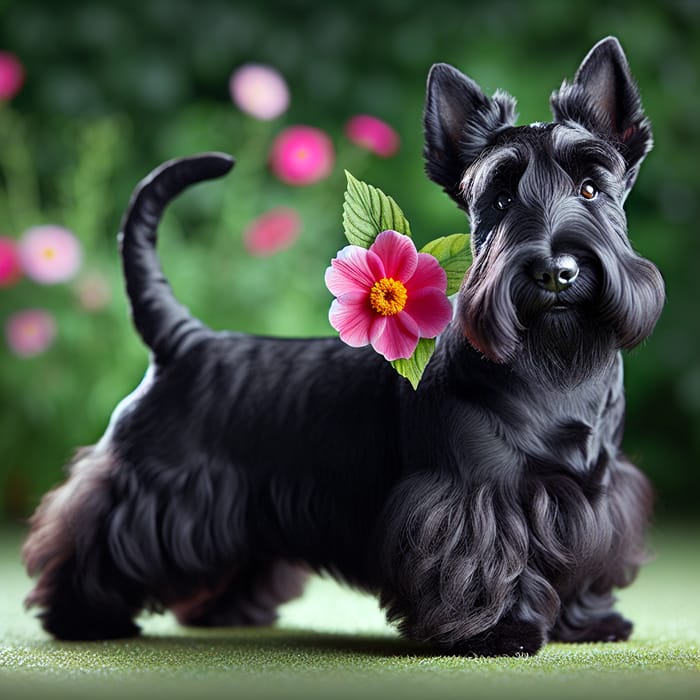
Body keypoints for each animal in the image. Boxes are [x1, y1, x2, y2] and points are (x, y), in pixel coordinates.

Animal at [21, 35, 664, 652]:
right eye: (500, 199)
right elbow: (487, 564)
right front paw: (497, 633)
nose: (556, 271)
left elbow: (585, 558)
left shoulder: (596, 493)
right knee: (95, 540)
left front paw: (588, 621)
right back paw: (82, 615)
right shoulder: (476, 495)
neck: (553, 370)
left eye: (591, 187)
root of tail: (183, 340)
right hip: (152, 488)